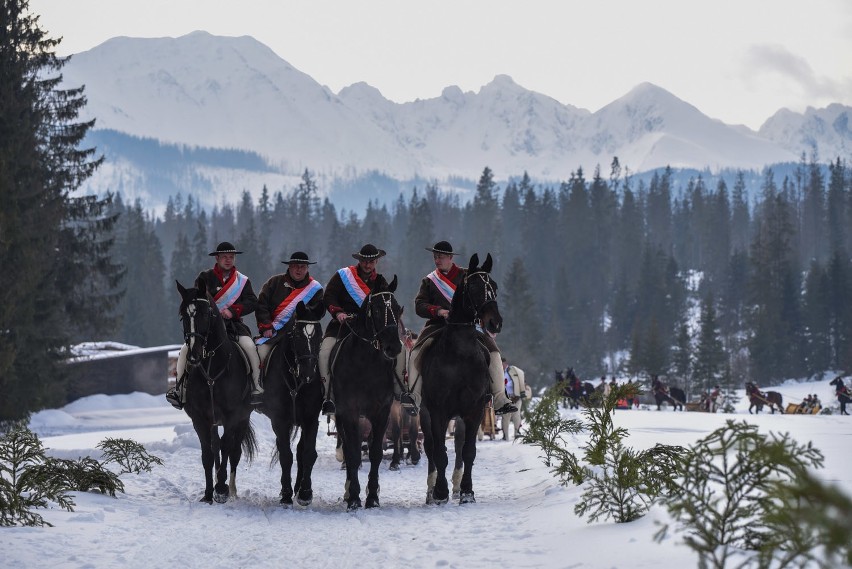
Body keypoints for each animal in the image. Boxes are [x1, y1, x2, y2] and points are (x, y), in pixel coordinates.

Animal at [176, 280, 256, 502]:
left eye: (205, 314)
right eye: (183, 316)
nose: (193, 356)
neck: (212, 366)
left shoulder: (232, 417)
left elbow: (228, 448)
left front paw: (221, 489)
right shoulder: (200, 419)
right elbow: (208, 454)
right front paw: (208, 493)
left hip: (242, 419)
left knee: (234, 452)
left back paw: (231, 489)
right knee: (216, 446)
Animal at [262, 302, 322, 506]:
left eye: (320, 335)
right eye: (296, 335)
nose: (308, 374)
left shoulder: (311, 419)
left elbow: (308, 453)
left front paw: (305, 493)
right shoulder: (280, 421)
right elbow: (285, 456)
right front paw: (286, 493)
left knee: (300, 450)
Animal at [330, 276, 402, 510]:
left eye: (397, 308)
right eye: (377, 309)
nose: (394, 347)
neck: (366, 363)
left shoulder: (382, 412)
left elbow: (376, 452)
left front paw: (372, 497)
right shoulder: (350, 412)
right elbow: (352, 454)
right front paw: (354, 497)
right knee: (347, 446)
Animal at [420, 255, 500, 504]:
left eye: (494, 287)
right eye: (473, 287)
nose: (495, 323)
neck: (460, 355)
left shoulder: (474, 410)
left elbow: (468, 451)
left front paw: (466, 491)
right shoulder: (438, 411)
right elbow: (439, 452)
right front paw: (440, 492)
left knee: (458, 446)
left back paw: (455, 486)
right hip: (424, 413)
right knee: (430, 447)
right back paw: (431, 490)